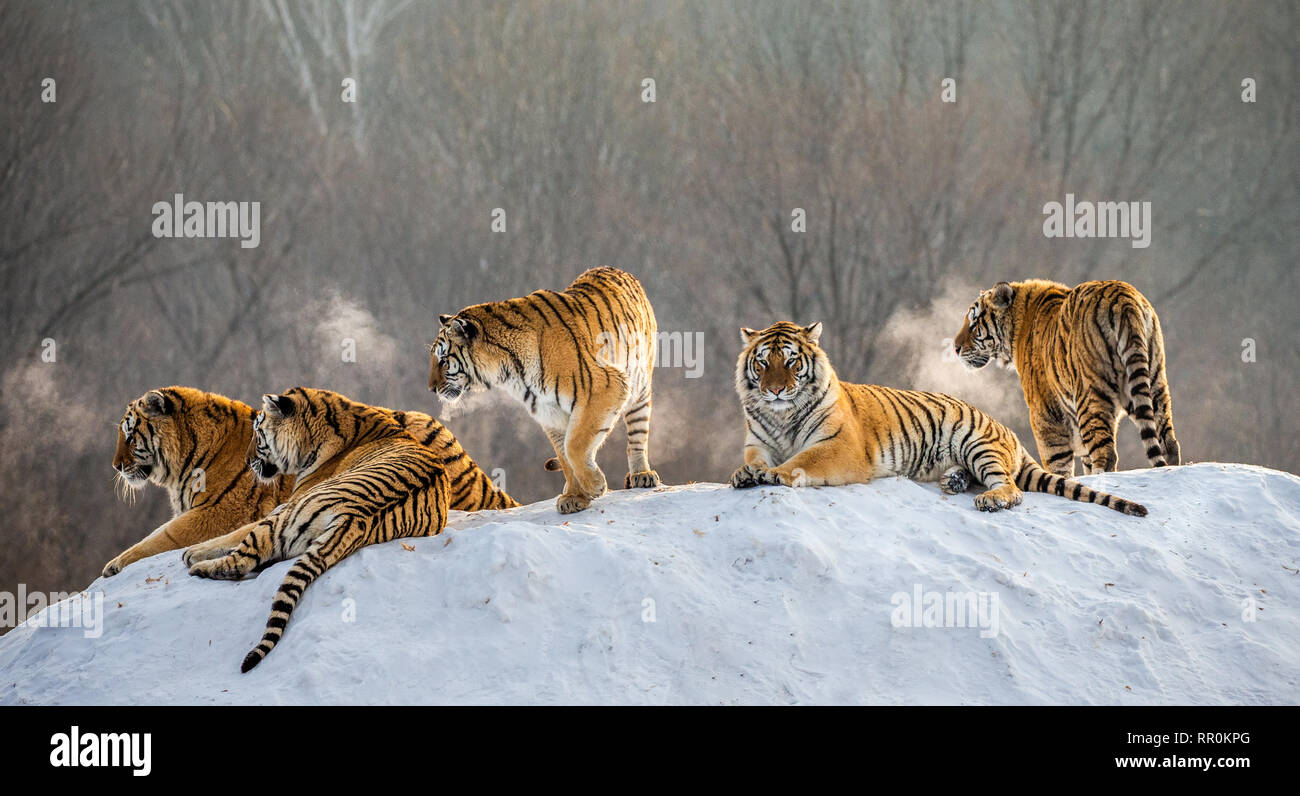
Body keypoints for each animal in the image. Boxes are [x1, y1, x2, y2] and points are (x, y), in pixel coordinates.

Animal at [180, 384, 449, 671]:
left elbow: (233, 533)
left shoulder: (286, 504)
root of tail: (355, 517)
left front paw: (192, 551)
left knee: (241, 560)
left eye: (258, 433)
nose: (247, 459)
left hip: (281, 519)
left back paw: (199, 567)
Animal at [431, 265, 665, 515]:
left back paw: (642, 475)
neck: (508, 371)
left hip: (639, 387)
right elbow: (565, 456)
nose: (432, 388)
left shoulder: (605, 385)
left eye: (443, 360)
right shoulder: (549, 412)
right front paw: (574, 497)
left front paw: (594, 485)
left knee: (637, 435)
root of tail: (617, 270)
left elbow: (574, 446)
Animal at [733, 319, 1149, 520]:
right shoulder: (758, 442)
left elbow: (801, 461)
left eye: (791, 361)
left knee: (1012, 488)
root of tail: (1009, 432)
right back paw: (953, 480)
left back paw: (990, 499)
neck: (782, 416)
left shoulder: (840, 447)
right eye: (763, 363)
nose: (774, 390)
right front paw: (745, 473)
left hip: (977, 443)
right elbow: (754, 460)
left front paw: (774, 474)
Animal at [951, 279, 1185, 476]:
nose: (955, 348)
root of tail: (1123, 298)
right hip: (1153, 381)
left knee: (1106, 453)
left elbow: (1057, 463)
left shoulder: (1045, 413)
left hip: (1090, 395)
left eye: (973, 324)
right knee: (1168, 442)